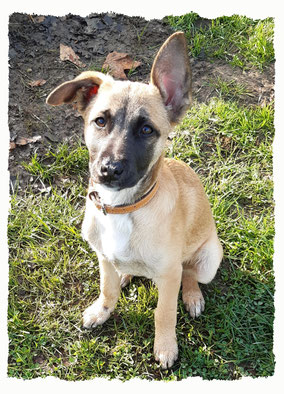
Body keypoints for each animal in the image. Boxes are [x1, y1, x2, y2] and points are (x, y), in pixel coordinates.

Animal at [46, 32, 223, 368]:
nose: (109, 170)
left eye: (146, 129)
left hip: (209, 258)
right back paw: (127, 272)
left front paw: (165, 346)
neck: (121, 208)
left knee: (190, 272)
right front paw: (102, 310)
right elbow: (107, 289)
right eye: (100, 121)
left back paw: (192, 295)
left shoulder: (168, 274)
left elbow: (164, 313)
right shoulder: (102, 256)